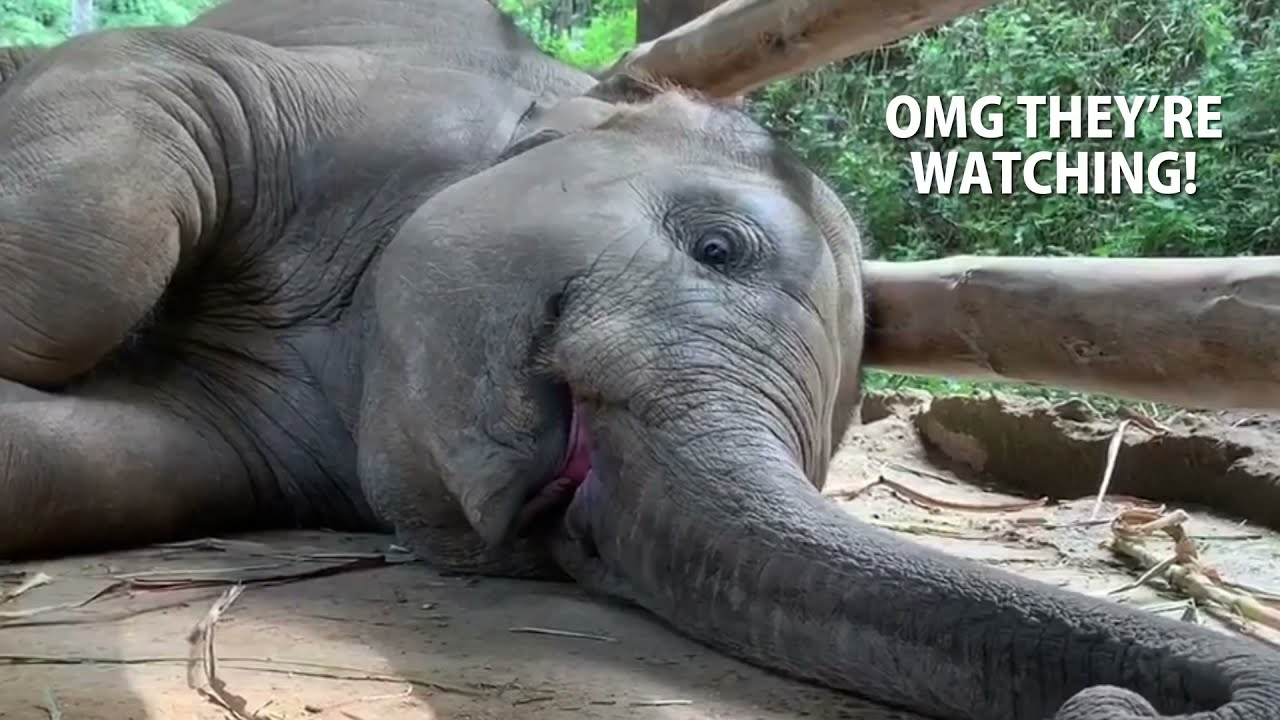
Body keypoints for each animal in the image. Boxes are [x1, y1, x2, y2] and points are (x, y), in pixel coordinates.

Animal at [1, 1, 1278, 718]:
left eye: (581, 537)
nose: (1115, 704)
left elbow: (94, 465)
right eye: (717, 248)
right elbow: (139, 96)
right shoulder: (348, 99)